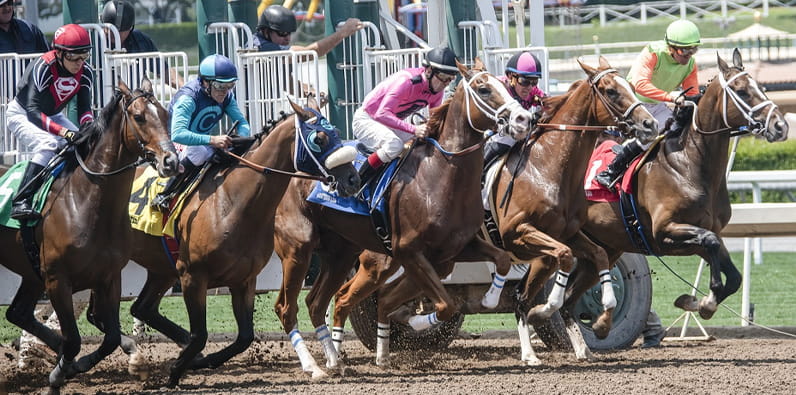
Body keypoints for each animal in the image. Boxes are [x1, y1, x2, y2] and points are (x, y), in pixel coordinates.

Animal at [0, 78, 177, 392]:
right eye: (139, 117)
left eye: (166, 114)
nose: (171, 160)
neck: (86, 202)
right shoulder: (58, 280)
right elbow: (73, 339)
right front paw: (58, 375)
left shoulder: (109, 277)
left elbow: (110, 338)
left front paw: (74, 364)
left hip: (31, 273)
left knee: (17, 312)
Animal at [126, 100, 358, 388]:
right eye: (319, 138)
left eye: (336, 131)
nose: (353, 179)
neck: (233, 202)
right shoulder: (193, 276)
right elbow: (200, 334)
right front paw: (174, 373)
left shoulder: (244, 279)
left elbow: (244, 337)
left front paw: (202, 360)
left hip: (162, 269)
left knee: (141, 307)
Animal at [270, 60, 532, 376]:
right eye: (483, 89)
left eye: (505, 85)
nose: (523, 118)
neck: (440, 175)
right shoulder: (409, 251)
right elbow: (445, 305)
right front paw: (417, 322)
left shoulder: (452, 252)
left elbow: (502, 259)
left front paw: (491, 298)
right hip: (298, 250)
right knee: (288, 306)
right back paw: (316, 365)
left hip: (342, 254)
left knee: (319, 302)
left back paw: (337, 359)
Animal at [568, 48, 788, 334]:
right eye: (741, 91)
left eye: (761, 87)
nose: (780, 126)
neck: (688, 166)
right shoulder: (664, 230)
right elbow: (710, 243)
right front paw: (704, 301)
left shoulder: (702, 233)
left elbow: (733, 274)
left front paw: (700, 302)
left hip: (604, 247)